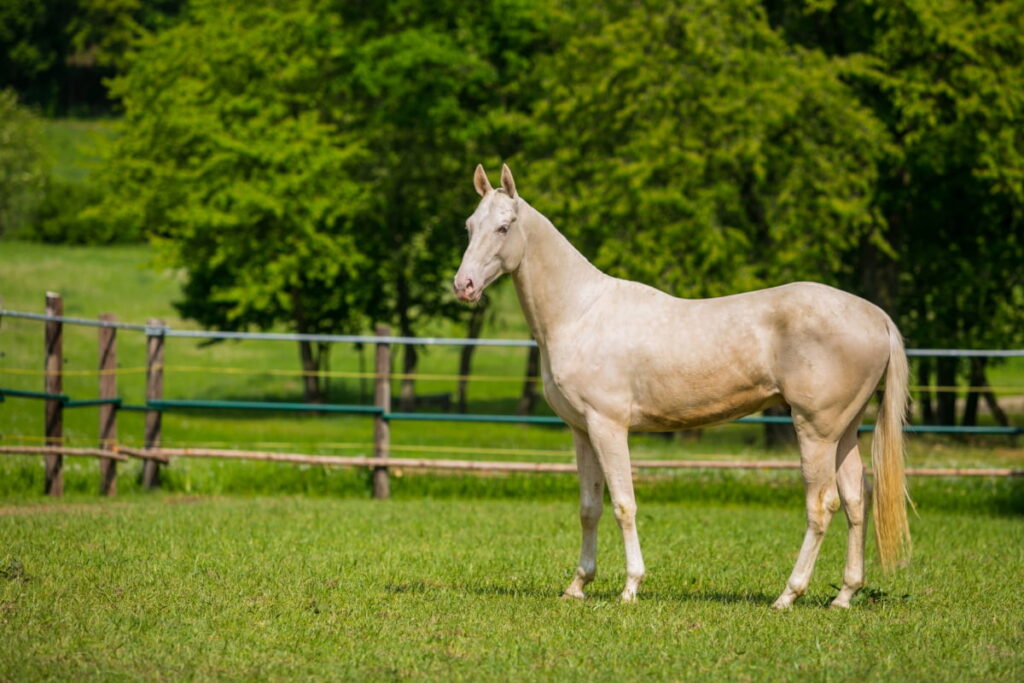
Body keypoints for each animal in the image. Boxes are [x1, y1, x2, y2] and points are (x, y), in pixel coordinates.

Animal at [452, 163, 909, 610]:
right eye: (470, 225)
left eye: (505, 227)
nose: (464, 286)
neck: (580, 312)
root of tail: (875, 316)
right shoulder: (582, 431)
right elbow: (589, 507)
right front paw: (578, 585)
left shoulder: (608, 426)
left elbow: (623, 505)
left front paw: (630, 588)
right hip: (844, 432)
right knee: (856, 500)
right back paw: (844, 596)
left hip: (815, 431)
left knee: (822, 505)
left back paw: (787, 595)